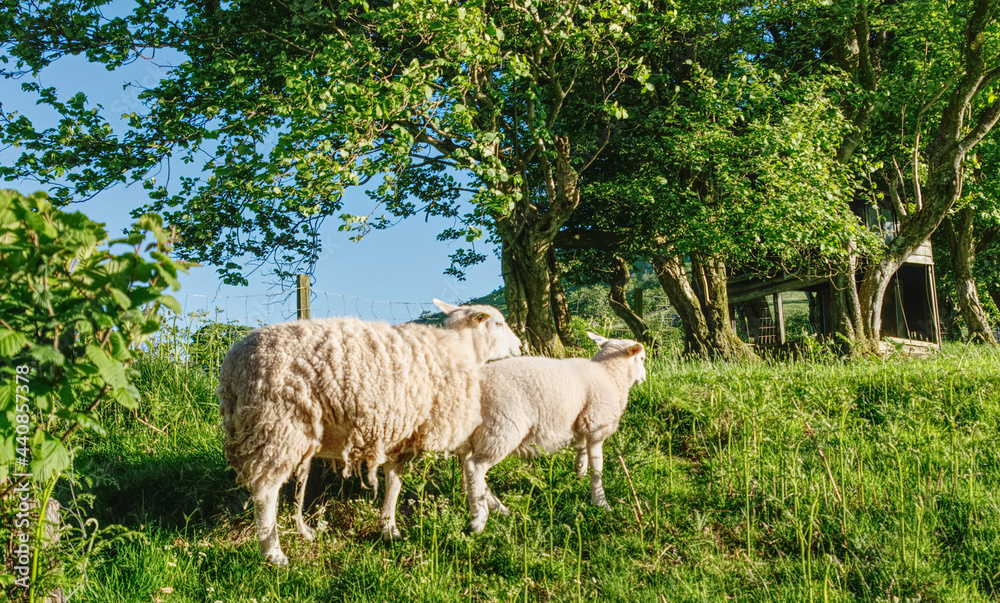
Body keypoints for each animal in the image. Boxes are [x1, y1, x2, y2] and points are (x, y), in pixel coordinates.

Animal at [218, 299, 522, 566]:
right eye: (498, 323)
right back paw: (273, 554)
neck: (460, 348)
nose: (520, 346)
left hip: (264, 426)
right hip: (278, 424)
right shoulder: (438, 422)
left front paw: (388, 527)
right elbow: (467, 466)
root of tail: (232, 366)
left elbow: (395, 482)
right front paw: (486, 509)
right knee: (265, 492)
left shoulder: (400, 433)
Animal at [463, 332, 646, 533]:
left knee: (469, 471)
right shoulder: (597, 424)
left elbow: (582, 450)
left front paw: (579, 473)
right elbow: (597, 469)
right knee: (475, 468)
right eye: (642, 358)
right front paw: (600, 502)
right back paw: (479, 519)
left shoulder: (585, 424)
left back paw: (499, 509)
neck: (609, 375)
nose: (644, 377)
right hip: (501, 428)